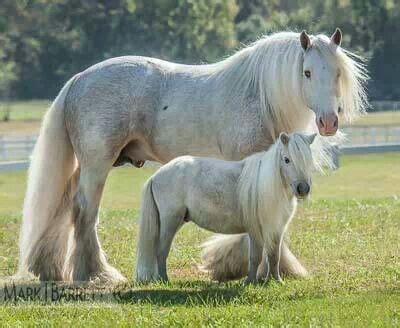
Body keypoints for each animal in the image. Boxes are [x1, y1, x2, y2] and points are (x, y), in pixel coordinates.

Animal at [136, 132, 318, 284]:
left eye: (309, 160)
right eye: (287, 159)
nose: (303, 188)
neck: (269, 186)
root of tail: (156, 175)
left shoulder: (276, 229)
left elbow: (274, 256)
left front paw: (276, 281)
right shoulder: (255, 230)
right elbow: (256, 257)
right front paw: (250, 282)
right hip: (170, 222)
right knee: (161, 251)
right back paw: (164, 280)